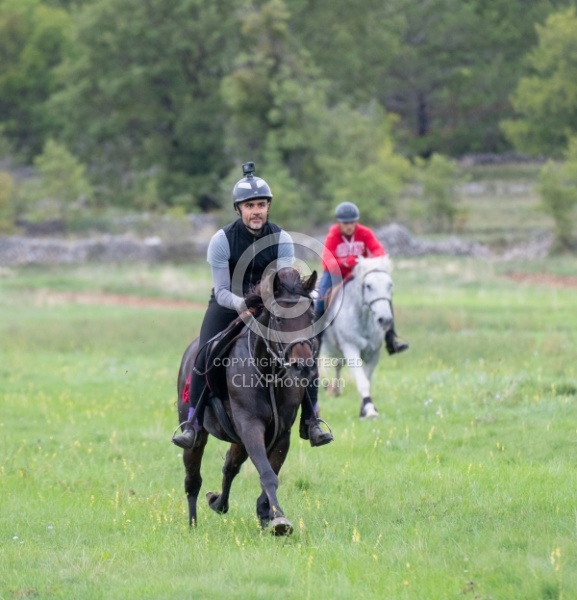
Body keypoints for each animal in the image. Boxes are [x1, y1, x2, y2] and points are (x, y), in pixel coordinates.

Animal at [177, 268, 318, 536]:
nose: (304, 366)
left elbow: (269, 472)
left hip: (239, 440)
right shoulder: (250, 426)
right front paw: (279, 520)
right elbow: (267, 474)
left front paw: (268, 515)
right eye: (280, 320)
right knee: (192, 478)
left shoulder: (280, 433)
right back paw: (192, 525)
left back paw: (217, 502)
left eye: (311, 316)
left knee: (229, 467)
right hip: (197, 434)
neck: (269, 372)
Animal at [320, 255, 396, 420]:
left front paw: (365, 408)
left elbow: (366, 379)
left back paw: (335, 389)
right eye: (368, 286)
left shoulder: (373, 354)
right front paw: (370, 410)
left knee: (336, 365)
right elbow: (362, 381)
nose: (385, 320)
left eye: (390, 285)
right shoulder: (351, 349)